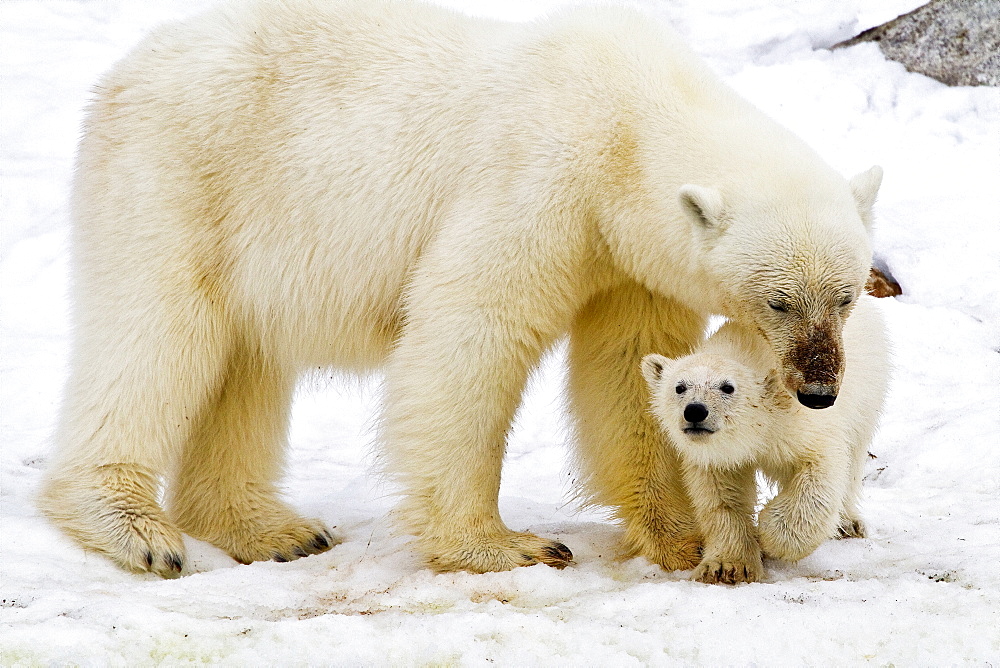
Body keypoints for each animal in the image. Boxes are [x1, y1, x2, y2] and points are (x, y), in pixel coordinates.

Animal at [39, 0, 884, 580]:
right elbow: (473, 329)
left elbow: (625, 370)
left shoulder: (628, 257)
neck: (629, 115)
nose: (819, 390)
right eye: (779, 301)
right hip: (178, 177)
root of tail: (124, 70)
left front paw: (682, 535)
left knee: (246, 364)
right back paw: (135, 527)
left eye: (846, 295)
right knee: (159, 335)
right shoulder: (541, 179)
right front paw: (508, 544)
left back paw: (277, 530)